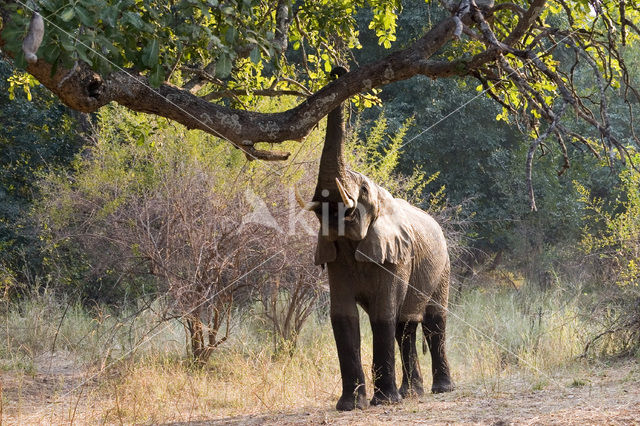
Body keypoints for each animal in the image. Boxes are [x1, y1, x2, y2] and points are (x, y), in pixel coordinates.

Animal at [296, 68, 456, 412]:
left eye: (363, 192)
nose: (338, 71)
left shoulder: (395, 256)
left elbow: (383, 314)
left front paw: (382, 402)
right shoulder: (336, 258)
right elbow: (343, 317)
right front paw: (350, 406)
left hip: (444, 267)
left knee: (432, 323)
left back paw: (440, 390)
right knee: (404, 327)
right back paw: (412, 393)